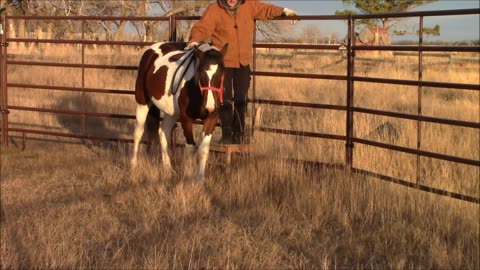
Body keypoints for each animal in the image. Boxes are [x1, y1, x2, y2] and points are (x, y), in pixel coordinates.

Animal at [130, 42, 226, 181]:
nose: (209, 107)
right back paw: (134, 166)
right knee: (138, 132)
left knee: (163, 132)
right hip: (142, 103)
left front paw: (200, 179)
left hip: (172, 113)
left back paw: (167, 169)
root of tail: (149, 50)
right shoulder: (186, 118)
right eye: (201, 73)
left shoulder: (211, 118)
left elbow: (203, 149)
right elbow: (191, 147)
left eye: (221, 73)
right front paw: (189, 176)